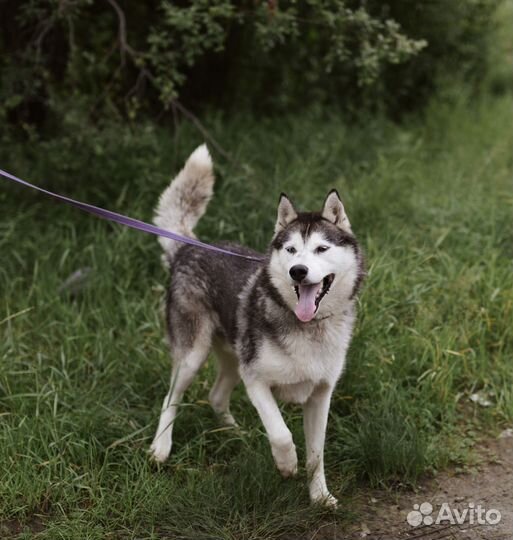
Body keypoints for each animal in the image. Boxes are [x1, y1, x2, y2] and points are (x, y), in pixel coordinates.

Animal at [148, 144, 364, 506]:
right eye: (291, 249)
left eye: (322, 248)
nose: (298, 271)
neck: (308, 329)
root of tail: (189, 248)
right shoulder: (256, 381)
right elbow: (281, 433)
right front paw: (286, 464)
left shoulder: (321, 395)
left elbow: (316, 454)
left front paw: (319, 497)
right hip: (194, 355)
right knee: (170, 398)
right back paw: (160, 448)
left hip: (233, 357)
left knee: (216, 395)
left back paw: (234, 433)